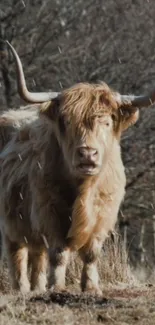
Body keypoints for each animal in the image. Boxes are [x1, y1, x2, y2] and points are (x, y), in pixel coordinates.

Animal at [0, 41, 154, 294]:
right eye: (67, 122)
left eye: (107, 122)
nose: (87, 153)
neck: (84, 188)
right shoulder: (49, 212)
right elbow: (59, 253)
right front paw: (57, 287)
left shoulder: (104, 214)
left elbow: (91, 254)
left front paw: (91, 288)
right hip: (10, 222)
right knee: (18, 254)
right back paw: (22, 289)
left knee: (37, 255)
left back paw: (38, 288)